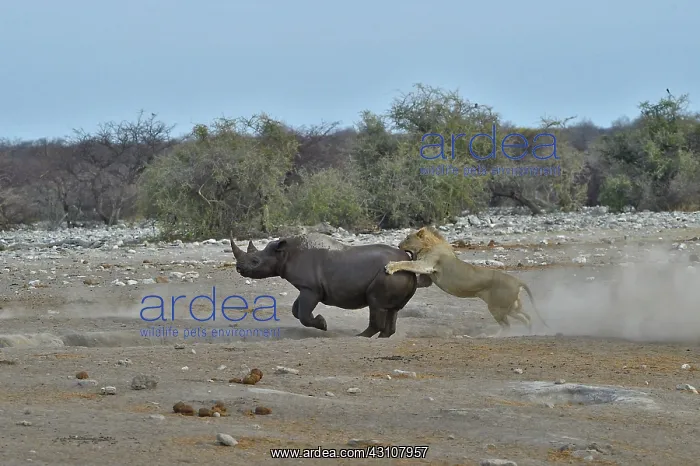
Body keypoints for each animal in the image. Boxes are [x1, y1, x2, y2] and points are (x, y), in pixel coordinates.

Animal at [230, 232, 431, 338]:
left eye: (255, 261)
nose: (238, 268)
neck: (283, 254)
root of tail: (407, 260)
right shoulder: (307, 287)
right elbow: (296, 309)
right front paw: (320, 322)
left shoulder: (311, 288)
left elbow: (303, 313)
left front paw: (323, 324)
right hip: (398, 274)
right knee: (392, 309)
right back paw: (381, 337)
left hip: (387, 275)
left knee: (376, 304)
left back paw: (359, 337)